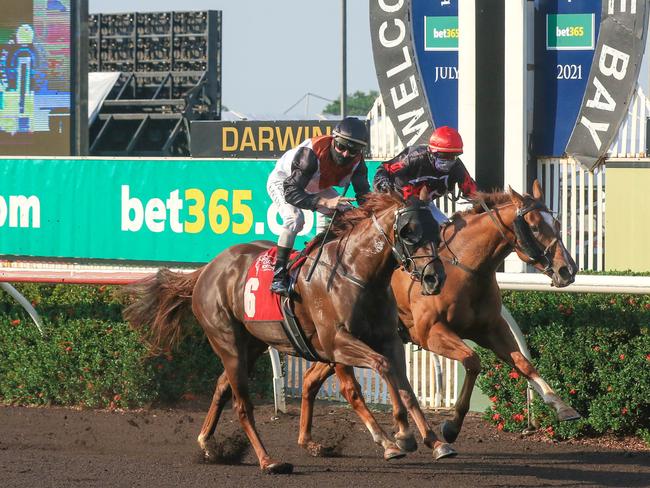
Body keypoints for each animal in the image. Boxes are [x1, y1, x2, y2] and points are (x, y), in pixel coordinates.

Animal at [124, 193, 454, 474]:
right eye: (409, 232)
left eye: (436, 230)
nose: (434, 278)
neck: (357, 273)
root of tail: (206, 270)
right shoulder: (336, 343)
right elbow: (370, 377)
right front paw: (395, 438)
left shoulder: (388, 339)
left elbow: (405, 387)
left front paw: (434, 441)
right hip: (227, 341)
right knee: (242, 405)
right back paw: (268, 461)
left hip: (252, 344)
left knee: (221, 386)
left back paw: (209, 444)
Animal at [298, 181, 576, 456]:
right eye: (534, 226)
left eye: (557, 224)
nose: (568, 270)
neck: (466, 267)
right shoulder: (431, 333)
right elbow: (472, 360)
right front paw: (451, 426)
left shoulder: (490, 328)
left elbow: (523, 363)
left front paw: (562, 406)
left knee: (310, 378)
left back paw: (308, 440)